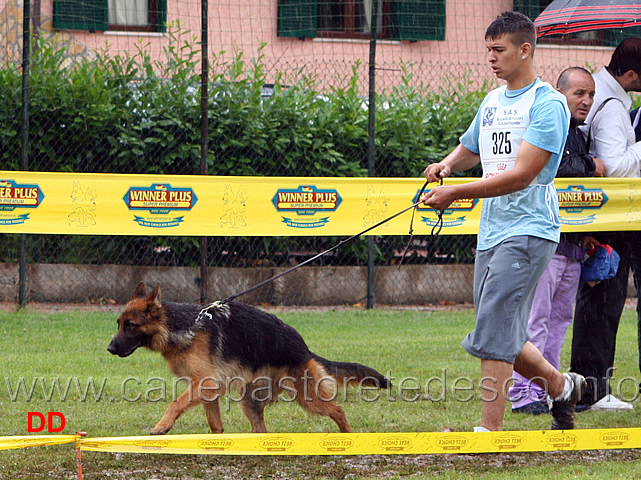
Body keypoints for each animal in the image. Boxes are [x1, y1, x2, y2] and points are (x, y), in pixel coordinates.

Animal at [107, 282, 388, 436]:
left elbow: (176, 403)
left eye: (130, 326)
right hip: (251, 402)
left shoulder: (204, 384)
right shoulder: (209, 391)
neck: (184, 327)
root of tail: (303, 348)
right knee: (260, 429)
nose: (109, 348)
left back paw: (350, 437)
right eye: (118, 324)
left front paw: (161, 427)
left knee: (338, 410)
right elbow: (215, 426)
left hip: (308, 397)